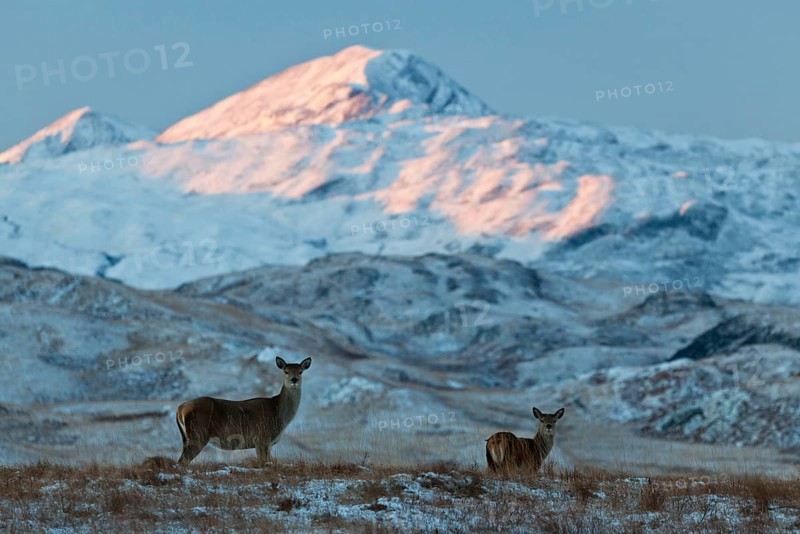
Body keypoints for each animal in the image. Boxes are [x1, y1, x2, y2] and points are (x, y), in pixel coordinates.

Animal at [175, 356, 311, 466]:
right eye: (286, 371)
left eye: (300, 371)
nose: (294, 379)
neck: (278, 412)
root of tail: (180, 409)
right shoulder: (261, 438)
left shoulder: (269, 444)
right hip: (198, 434)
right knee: (182, 461)